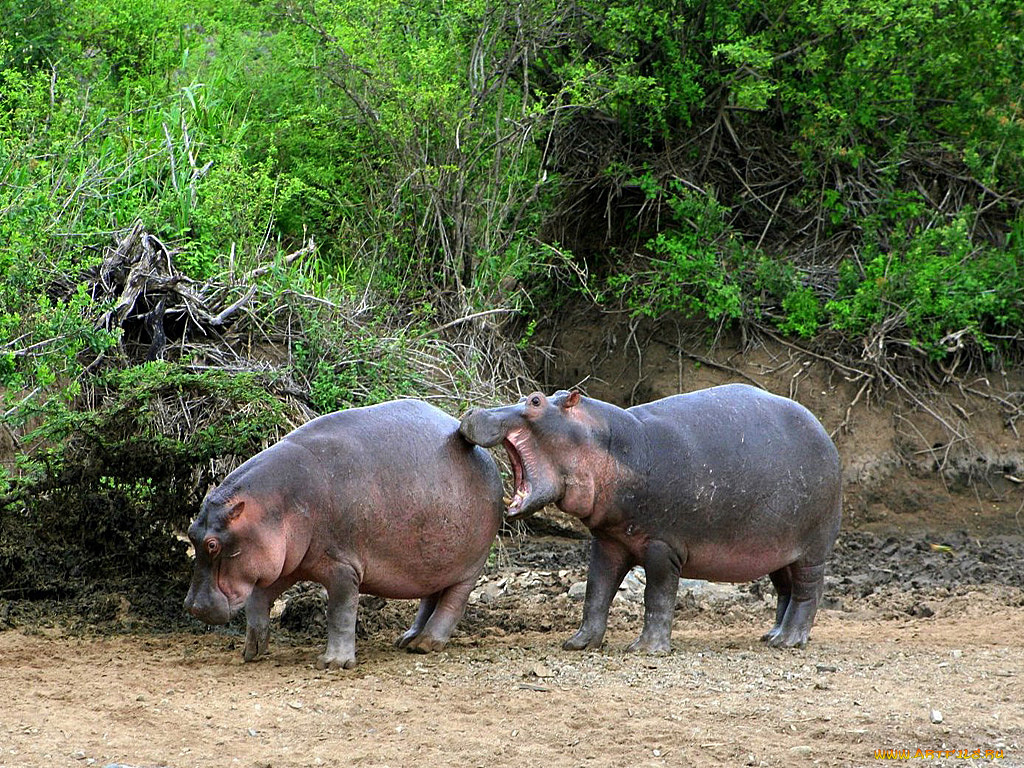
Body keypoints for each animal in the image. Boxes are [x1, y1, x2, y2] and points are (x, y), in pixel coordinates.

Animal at [187, 399, 503, 671]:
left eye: (212, 544)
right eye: (191, 532)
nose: (193, 606)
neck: (277, 504)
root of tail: (487, 459)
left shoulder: (342, 567)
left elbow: (340, 613)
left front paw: (333, 664)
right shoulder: (285, 563)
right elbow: (258, 601)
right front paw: (252, 651)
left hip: (470, 567)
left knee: (452, 603)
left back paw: (426, 644)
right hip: (436, 561)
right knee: (430, 598)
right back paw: (407, 640)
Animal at [462, 385, 839, 651]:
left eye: (535, 401)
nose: (472, 411)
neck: (610, 444)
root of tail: (825, 434)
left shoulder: (663, 546)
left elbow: (657, 596)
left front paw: (645, 649)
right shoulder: (609, 541)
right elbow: (596, 593)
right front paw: (578, 643)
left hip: (812, 548)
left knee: (807, 592)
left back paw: (788, 641)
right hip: (779, 549)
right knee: (785, 589)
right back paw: (771, 635)